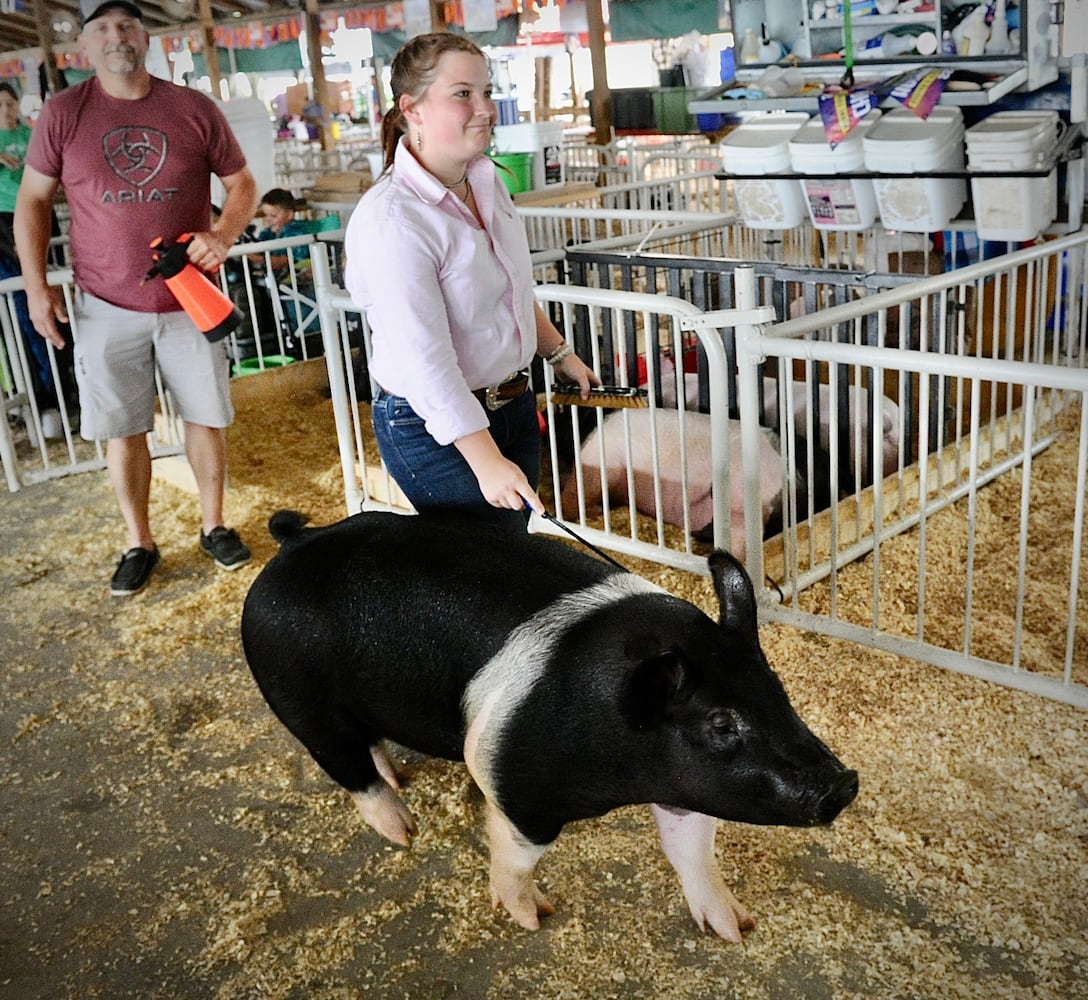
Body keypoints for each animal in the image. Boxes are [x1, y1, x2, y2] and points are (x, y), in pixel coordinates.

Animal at [240, 511, 857, 944]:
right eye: (722, 725)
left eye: (777, 690)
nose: (844, 783)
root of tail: (292, 542)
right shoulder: (519, 790)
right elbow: (516, 858)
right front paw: (535, 918)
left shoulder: (687, 786)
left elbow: (692, 851)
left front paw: (736, 929)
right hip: (296, 695)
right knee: (346, 767)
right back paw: (404, 830)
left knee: (368, 747)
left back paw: (398, 781)